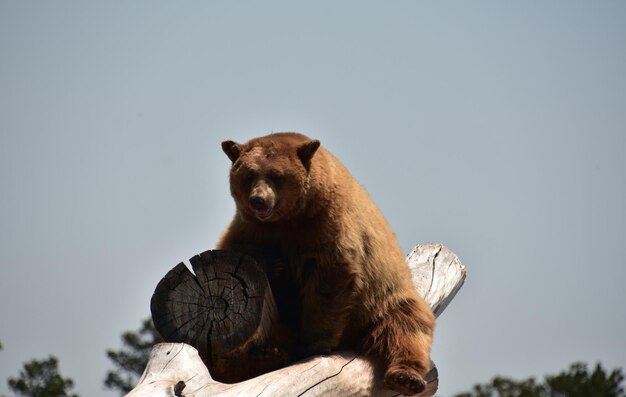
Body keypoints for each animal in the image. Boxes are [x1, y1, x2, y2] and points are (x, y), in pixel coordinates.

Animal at [217, 132, 432, 392]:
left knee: (404, 326)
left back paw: (406, 377)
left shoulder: (326, 223)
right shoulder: (251, 228)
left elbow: (330, 275)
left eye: (276, 175)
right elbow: (236, 254)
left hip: (384, 299)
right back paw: (260, 356)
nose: (258, 200)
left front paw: (313, 343)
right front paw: (274, 264)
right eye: (249, 174)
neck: (291, 218)